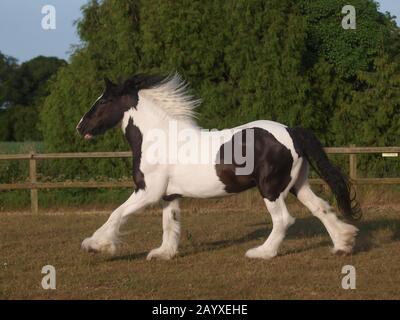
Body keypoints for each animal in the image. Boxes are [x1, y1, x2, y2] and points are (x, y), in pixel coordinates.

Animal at [76, 74, 360, 262]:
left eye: (103, 102)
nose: (81, 127)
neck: (159, 138)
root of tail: (291, 131)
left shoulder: (147, 191)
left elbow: (116, 214)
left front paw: (94, 245)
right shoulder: (169, 195)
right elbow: (170, 224)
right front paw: (163, 253)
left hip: (270, 188)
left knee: (283, 219)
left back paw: (261, 253)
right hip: (296, 184)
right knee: (321, 208)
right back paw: (343, 244)